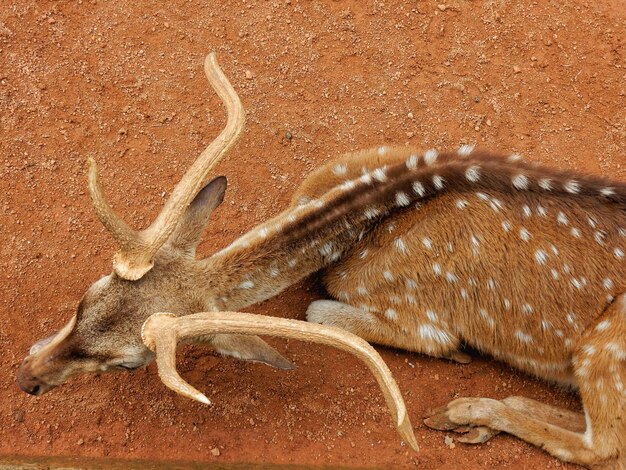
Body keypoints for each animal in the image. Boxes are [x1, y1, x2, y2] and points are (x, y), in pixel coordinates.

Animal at [14, 53, 624, 468]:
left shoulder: (423, 319)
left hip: (605, 346)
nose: (25, 378)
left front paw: (457, 362)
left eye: (127, 363)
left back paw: (467, 410)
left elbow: (318, 311)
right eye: (83, 300)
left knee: (603, 445)